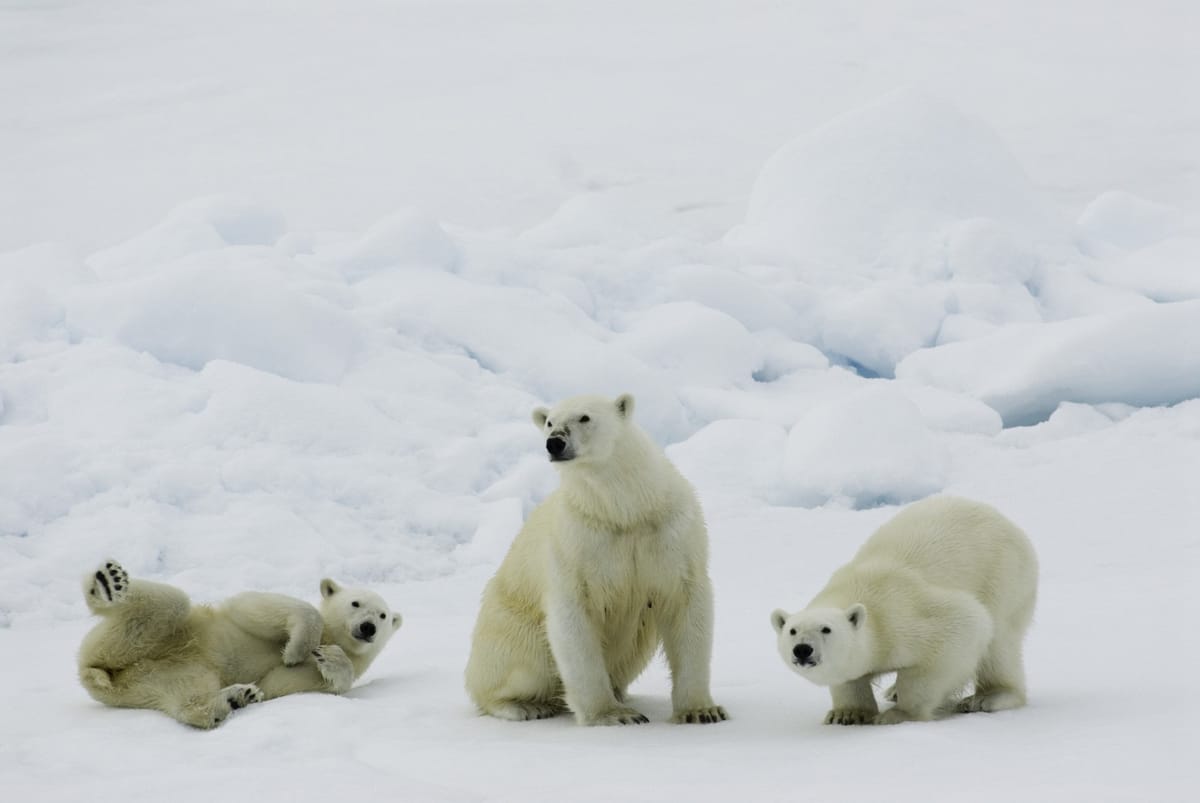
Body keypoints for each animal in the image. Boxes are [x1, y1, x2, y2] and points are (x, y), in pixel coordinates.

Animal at [78, 560, 401, 728]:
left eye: (383, 615)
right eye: (355, 603)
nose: (368, 627)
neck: (332, 635)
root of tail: (102, 675)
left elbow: (288, 682)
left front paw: (330, 658)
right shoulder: (247, 613)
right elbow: (261, 607)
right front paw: (295, 650)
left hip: (162, 675)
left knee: (188, 693)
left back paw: (234, 698)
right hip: (168, 635)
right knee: (169, 603)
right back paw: (108, 584)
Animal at [465, 393, 727, 726]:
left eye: (584, 417)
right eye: (549, 421)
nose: (555, 442)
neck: (624, 510)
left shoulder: (671, 533)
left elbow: (685, 603)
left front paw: (702, 711)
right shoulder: (575, 545)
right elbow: (573, 620)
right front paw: (614, 715)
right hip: (510, 633)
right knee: (521, 667)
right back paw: (526, 706)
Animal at [770, 495, 1037, 725]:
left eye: (826, 629)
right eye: (793, 631)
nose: (802, 649)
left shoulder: (906, 615)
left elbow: (965, 625)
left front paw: (898, 715)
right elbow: (850, 676)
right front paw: (846, 714)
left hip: (1004, 575)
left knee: (999, 641)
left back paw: (987, 697)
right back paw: (893, 691)